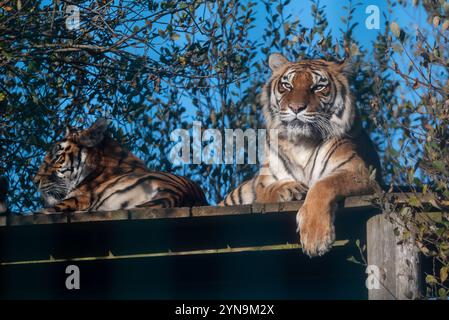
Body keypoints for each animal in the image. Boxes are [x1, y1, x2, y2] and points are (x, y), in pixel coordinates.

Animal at [220, 52, 382, 258]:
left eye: (318, 87)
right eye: (287, 85)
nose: (296, 107)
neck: (301, 142)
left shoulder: (360, 172)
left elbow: (324, 185)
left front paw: (315, 238)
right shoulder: (264, 180)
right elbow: (267, 190)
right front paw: (291, 189)